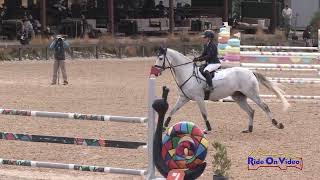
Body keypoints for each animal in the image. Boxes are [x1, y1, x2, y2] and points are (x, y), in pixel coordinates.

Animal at [151, 47, 288, 133]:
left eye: (161, 58)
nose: (156, 71)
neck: (187, 72)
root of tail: (250, 72)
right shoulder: (184, 98)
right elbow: (172, 111)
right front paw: (164, 127)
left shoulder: (199, 98)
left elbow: (204, 114)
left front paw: (208, 129)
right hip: (238, 97)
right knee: (251, 111)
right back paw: (248, 129)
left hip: (252, 94)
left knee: (264, 106)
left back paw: (277, 124)